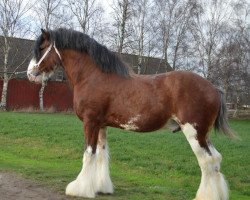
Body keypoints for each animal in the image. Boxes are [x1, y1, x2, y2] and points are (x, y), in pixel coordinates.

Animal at [26, 28, 234, 200]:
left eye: (42, 47)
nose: (30, 74)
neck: (93, 76)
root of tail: (214, 89)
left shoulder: (90, 123)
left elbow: (89, 154)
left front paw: (80, 189)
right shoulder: (101, 125)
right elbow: (101, 155)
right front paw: (101, 187)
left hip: (194, 132)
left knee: (207, 161)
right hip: (204, 135)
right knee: (215, 159)